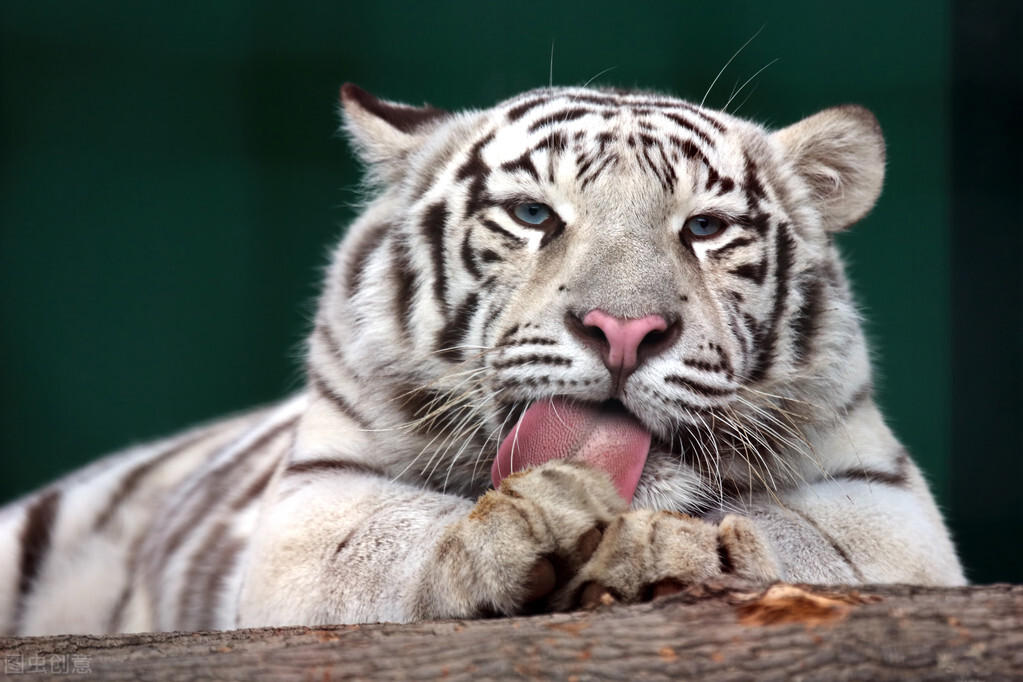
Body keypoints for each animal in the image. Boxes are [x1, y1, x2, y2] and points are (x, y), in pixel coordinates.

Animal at [0, 82, 961, 638]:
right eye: (534, 215)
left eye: (703, 227)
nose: (623, 330)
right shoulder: (312, 498)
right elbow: (389, 538)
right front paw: (519, 531)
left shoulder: (888, 504)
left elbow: (803, 543)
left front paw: (682, 549)